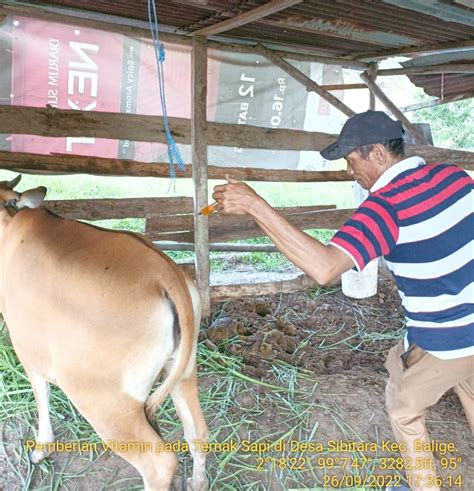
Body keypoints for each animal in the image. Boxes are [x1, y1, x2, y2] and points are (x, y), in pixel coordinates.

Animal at [0, 177, 207, 491]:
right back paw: (197, 481)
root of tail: (166, 274)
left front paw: (41, 449)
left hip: (107, 404)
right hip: (184, 372)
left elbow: (41, 393)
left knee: (159, 463)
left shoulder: (26, 345)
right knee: (198, 432)